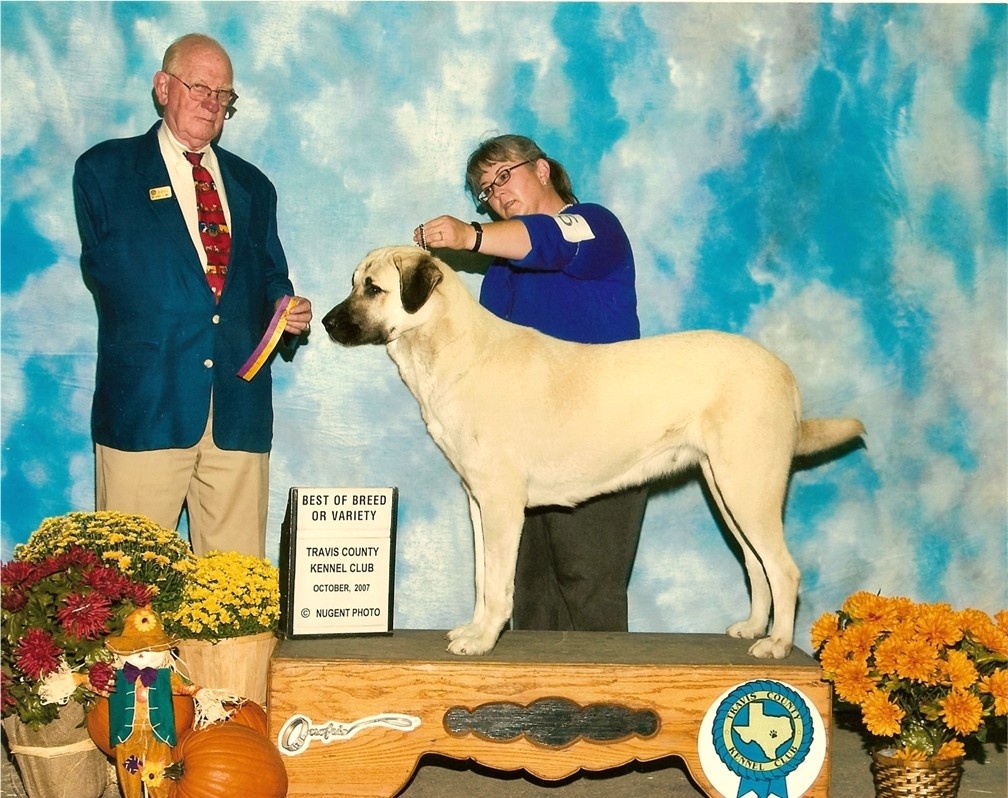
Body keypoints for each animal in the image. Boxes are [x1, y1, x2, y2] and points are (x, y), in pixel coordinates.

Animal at [324, 245, 866, 656]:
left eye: (373, 287)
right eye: (353, 282)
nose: (327, 323)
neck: (445, 348)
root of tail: (782, 371)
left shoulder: (502, 503)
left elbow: (498, 582)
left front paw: (482, 640)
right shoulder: (476, 500)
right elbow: (481, 577)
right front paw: (472, 628)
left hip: (748, 486)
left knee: (785, 569)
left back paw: (776, 645)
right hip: (726, 488)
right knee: (757, 565)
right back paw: (752, 628)